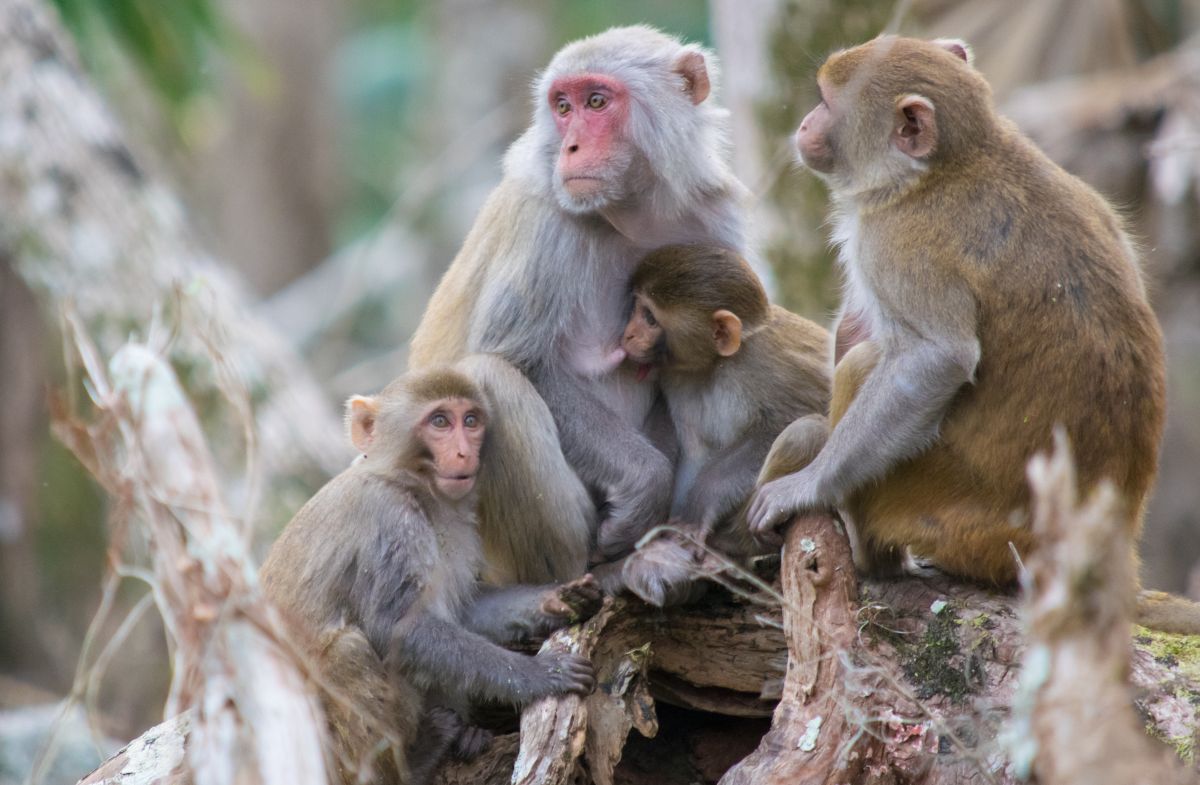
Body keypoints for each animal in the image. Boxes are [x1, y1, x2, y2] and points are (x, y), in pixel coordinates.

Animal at [259, 368, 598, 785]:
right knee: (346, 652)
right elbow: (397, 627)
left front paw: (558, 600)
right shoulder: (389, 519)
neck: (411, 484)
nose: (465, 452)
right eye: (440, 422)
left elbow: (463, 613)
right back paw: (412, 763)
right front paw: (539, 673)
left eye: (470, 420)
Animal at [405, 26, 751, 588]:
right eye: (563, 107)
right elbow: (521, 361)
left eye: (596, 102)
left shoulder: (716, 222)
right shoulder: (547, 221)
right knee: (493, 377)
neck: (633, 213)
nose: (570, 145)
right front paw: (644, 486)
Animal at [614, 244, 831, 606]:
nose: (627, 334)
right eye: (637, 310)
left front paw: (698, 508)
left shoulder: (762, 367)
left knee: (808, 432)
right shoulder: (675, 377)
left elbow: (785, 420)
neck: (717, 363)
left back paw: (734, 545)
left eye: (649, 317)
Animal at [746, 36, 1171, 600]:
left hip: (944, 515)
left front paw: (805, 487)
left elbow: (936, 358)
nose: (804, 124)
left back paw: (872, 558)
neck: (952, 162)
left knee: (865, 365)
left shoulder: (896, 243)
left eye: (827, 102)